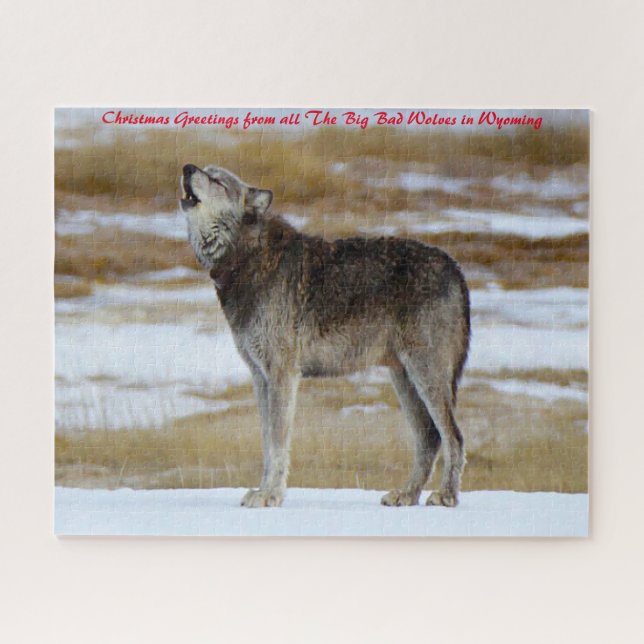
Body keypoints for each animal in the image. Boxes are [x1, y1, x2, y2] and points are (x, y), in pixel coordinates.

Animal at [180, 163, 471, 508]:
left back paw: (446, 495)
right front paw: (263, 492)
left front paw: (271, 496)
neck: (248, 257)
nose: (186, 168)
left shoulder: (282, 375)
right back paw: (406, 495)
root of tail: (456, 268)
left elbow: (278, 444)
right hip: (404, 379)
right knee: (429, 436)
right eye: (204, 169)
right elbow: (266, 444)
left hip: (425, 375)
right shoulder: (260, 378)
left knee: (453, 436)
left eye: (216, 179)